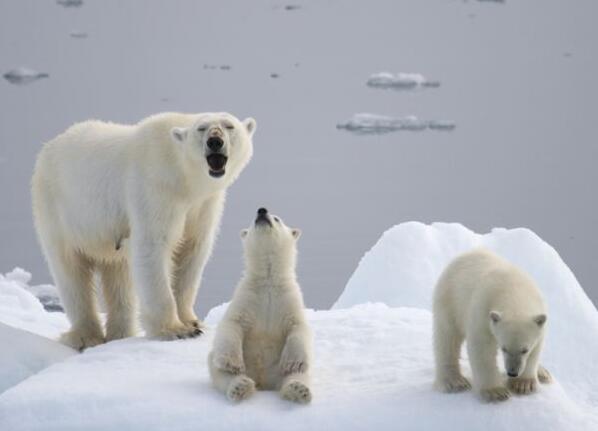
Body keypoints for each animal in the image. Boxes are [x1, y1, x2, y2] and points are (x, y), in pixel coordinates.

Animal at [32, 112, 256, 352]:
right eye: (201, 128)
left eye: (229, 126)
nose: (215, 141)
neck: (183, 176)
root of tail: (48, 147)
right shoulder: (155, 188)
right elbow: (154, 246)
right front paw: (176, 330)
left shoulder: (204, 204)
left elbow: (192, 250)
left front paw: (192, 322)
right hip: (59, 211)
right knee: (71, 271)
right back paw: (86, 337)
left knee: (119, 276)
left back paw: (121, 333)